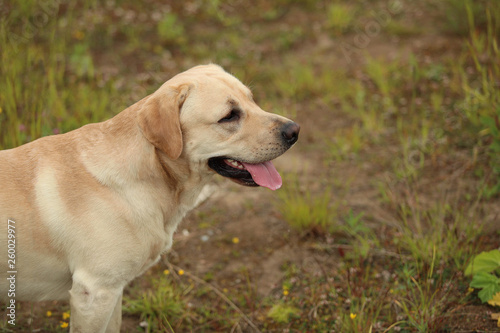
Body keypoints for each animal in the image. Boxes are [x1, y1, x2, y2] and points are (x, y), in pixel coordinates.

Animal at [0, 63, 298, 330]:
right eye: (229, 116)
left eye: (252, 99)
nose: (294, 130)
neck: (153, 177)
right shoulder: (94, 292)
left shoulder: (113, 291)